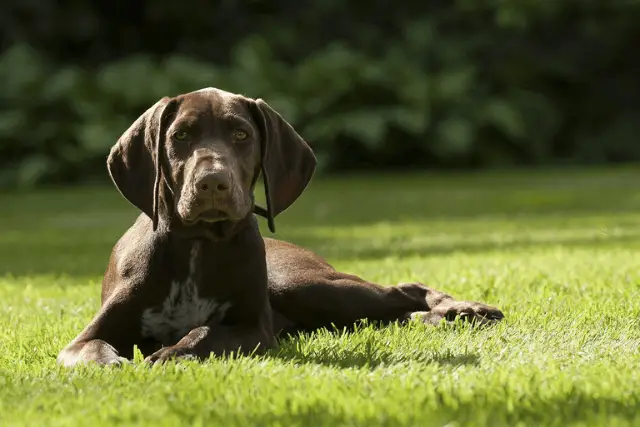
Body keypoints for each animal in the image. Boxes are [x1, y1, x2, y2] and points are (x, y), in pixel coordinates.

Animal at [56, 88, 504, 368]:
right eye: (180, 136)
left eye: (241, 134)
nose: (212, 183)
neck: (197, 246)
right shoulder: (82, 339)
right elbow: (92, 350)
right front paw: (113, 363)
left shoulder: (253, 329)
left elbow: (205, 332)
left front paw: (170, 353)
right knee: (391, 312)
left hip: (303, 286)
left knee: (402, 290)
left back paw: (465, 309)